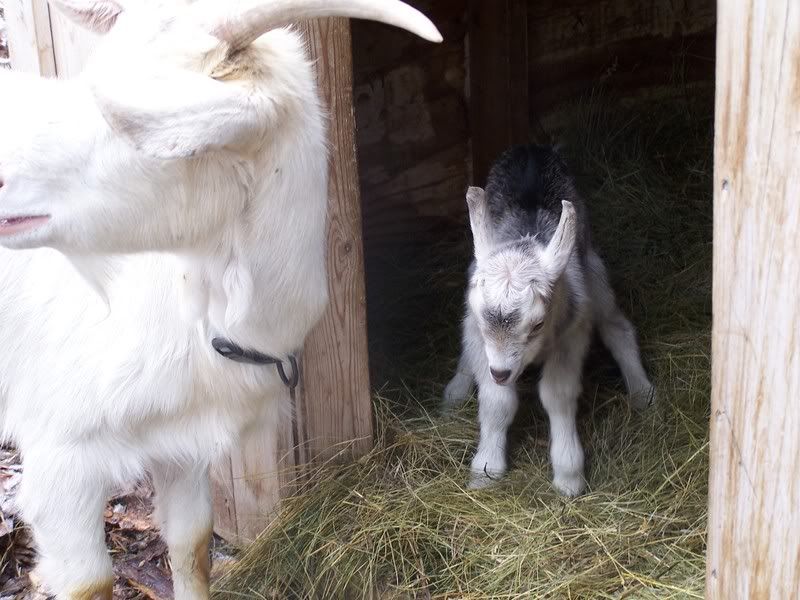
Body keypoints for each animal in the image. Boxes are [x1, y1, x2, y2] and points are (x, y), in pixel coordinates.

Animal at [443, 145, 655, 496]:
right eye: (485, 320)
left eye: (538, 324)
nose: (501, 372)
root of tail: (531, 149)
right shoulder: (476, 328)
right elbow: (497, 400)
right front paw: (485, 470)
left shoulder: (571, 333)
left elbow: (556, 394)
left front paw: (569, 476)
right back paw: (456, 389)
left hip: (593, 269)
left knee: (617, 327)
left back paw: (642, 391)